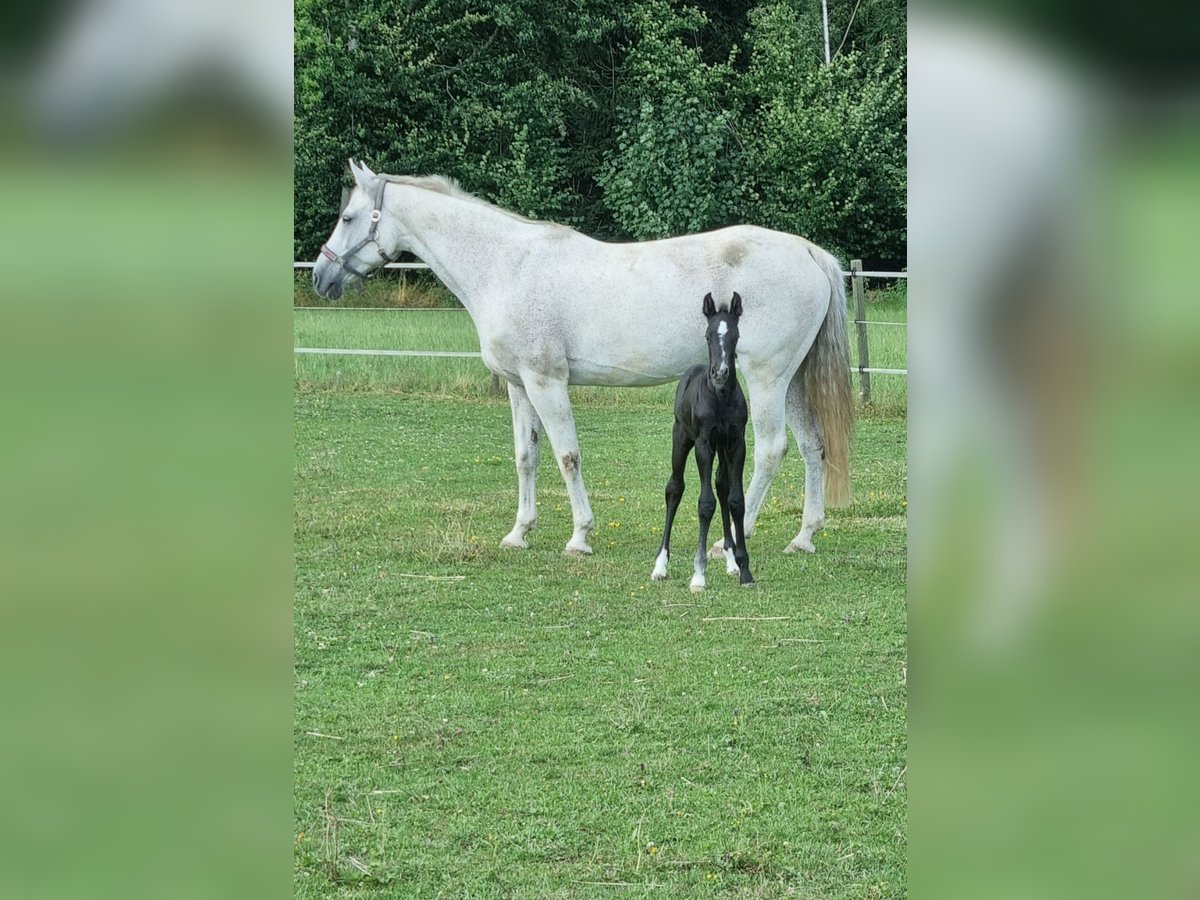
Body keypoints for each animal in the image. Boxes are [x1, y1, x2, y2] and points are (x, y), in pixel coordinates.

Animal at [312, 160, 854, 556]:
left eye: (347, 217)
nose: (321, 276)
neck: (505, 265)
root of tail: (809, 252)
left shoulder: (546, 382)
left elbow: (567, 455)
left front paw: (579, 536)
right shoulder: (519, 386)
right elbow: (526, 457)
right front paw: (519, 533)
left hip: (766, 378)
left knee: (771, 450)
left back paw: (733, 539)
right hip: (793, 380)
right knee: (813, 447)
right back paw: (804, 537)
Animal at [652, 290, 753, 592]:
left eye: (735, 336)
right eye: (708, 336)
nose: (720, 373)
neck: (719, 398)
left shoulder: (736, 444)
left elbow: (735, 500)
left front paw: (745, 570)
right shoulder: (703, 444)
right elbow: (705, 503)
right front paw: (698, 575)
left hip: (722, 448)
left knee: (722, 486)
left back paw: (731, 561)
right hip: (681, 439)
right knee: (674, 488)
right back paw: (660, 565)